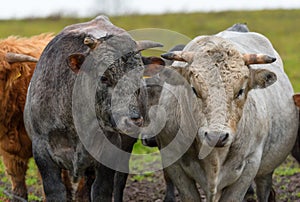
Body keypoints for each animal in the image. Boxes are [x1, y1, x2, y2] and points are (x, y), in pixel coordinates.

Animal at [24, 15, 163, 201]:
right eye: (104, 77)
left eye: (139, 76)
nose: (134, 119)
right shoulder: (41, 151)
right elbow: (56, 191)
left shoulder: (110, 151)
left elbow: (102, 190)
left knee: (118, 182)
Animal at [155, 28, 298, 200]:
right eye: (194, 89)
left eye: (240, 91)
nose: (216, 137)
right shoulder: (173, 162)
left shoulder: (250, 165)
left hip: (266, 171)